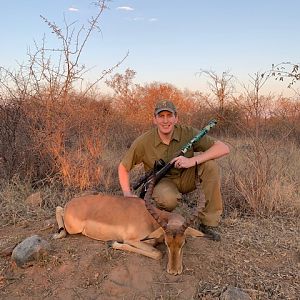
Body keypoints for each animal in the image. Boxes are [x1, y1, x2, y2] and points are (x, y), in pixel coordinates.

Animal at [53, 178, 206, 274]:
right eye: (167, 244)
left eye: (183, 243)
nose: (174, 271)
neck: (150, 219)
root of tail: (71, 203)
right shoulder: (132, 240)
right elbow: (157, 253)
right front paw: (114, 243)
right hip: (73, 228)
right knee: (59, 209)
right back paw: (58, 234)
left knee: (59, 207)